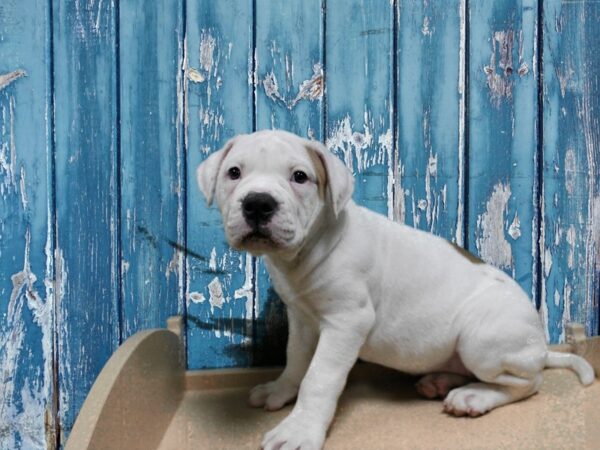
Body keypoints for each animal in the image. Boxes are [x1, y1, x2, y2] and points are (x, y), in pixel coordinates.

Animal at [198, 129, 596, 450]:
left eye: (300, 177)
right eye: (234, 172)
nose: (258, 202)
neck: (310, 249)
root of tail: (540, 347)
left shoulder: (346, 323)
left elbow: (319, 378)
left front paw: (300, 430)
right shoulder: (302, 319)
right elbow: (296, 361)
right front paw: (280, 391)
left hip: (481, 338)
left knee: (527, 383)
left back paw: (474, 397)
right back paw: (440, 381)